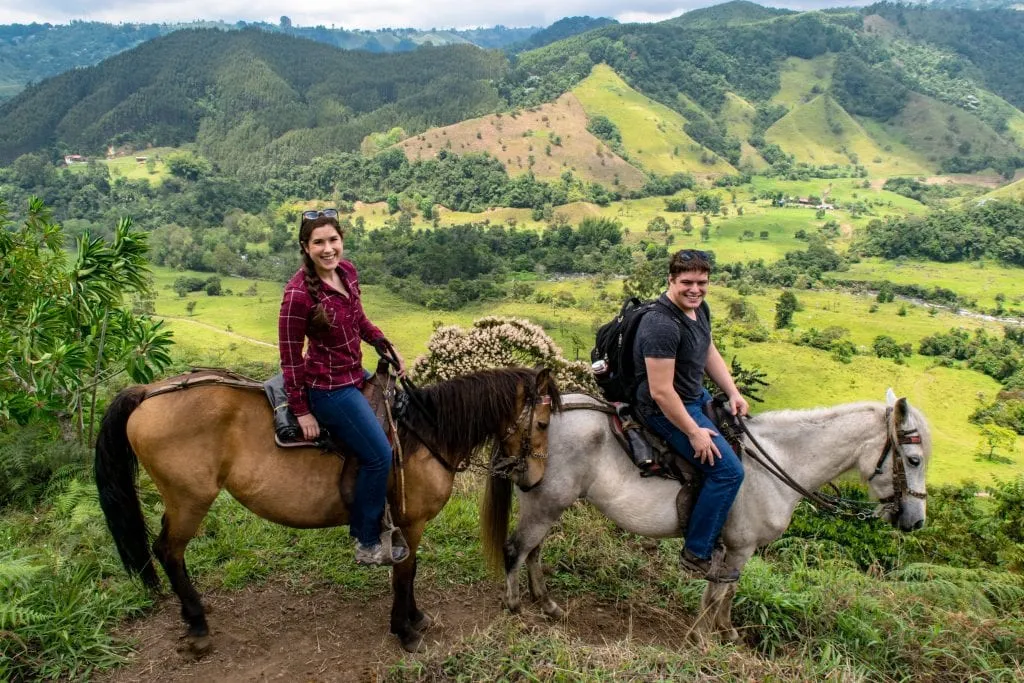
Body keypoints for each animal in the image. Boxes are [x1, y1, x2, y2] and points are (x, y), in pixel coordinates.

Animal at [95, 366, 561, 655]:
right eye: (541, 423)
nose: (537, 478)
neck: (425, 434)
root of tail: (147, 392)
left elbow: (409, 574)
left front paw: (415, 617)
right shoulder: (409, 523)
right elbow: (404, 573)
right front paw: (404, 629)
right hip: (189, 500)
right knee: (168, 551)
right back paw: (196, 624)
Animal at [493, 389, 929, 643]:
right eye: (913, 460)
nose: (916, 520)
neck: (779, 463)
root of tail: (540, 411)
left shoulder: (735, 549)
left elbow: (725, 590)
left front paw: (726, 632)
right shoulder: (739, 546)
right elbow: (719, 590)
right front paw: (703, 639)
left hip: (548, 504)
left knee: (533, 551)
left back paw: (547, 604)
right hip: (545, 502)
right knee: (516, 549)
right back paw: (516, 608)